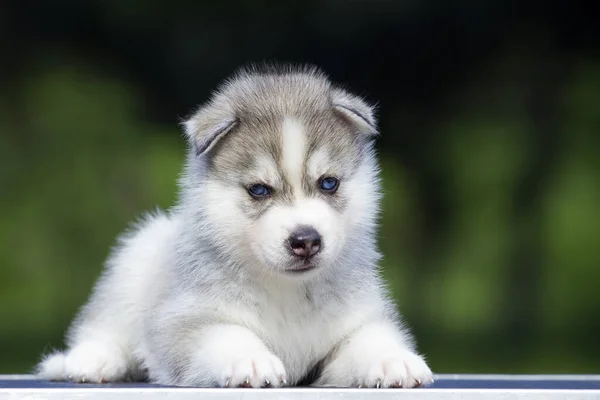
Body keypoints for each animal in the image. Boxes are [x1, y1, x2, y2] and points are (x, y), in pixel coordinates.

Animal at [35, 65, 434, 388]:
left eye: (328, 183)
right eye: (259, 190)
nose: (306, 240)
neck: (287, 291)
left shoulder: (357, 320)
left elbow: (367, 338)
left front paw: (392, 359)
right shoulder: (186, 321)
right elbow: (226, 334)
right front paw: (250, 360)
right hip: (135, 260)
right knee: (104, 323)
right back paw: (91, 360)